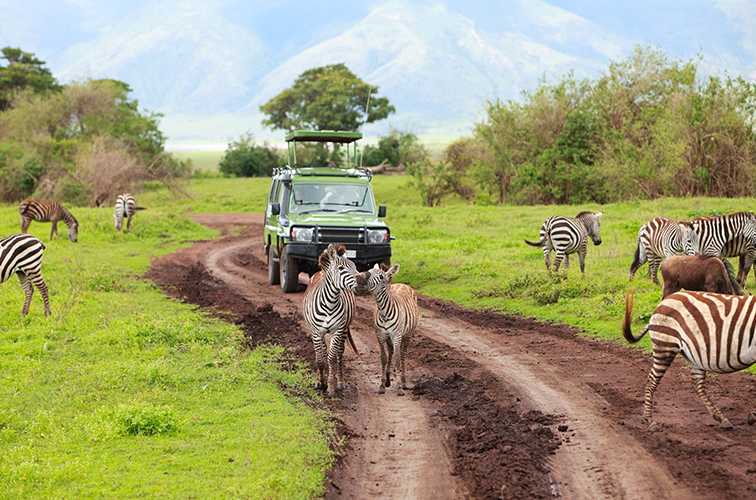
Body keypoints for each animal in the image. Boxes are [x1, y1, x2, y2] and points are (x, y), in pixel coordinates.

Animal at [302, 244, 358, 396]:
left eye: (354, 266)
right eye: (341, 268)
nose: (362, 280)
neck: (329, 303)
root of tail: (321, 271)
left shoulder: (337, 331)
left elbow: (332, 358)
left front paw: (331, 386)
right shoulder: (316, 332)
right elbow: (320, 359)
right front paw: (320, 383)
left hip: (344, 330)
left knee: (339, 354)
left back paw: (340, 382)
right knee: (323, 352)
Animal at [358, 264, 420, 396]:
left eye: (381, 276)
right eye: (369, 271)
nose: (360, 278)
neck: (384, 312)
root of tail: (403, 284)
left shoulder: (397, 336)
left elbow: (397, 360)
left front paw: (399, 388)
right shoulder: (380, 335)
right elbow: (384, 358)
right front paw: (382, 385)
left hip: (407, 335)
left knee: (402, 355)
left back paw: (403, 382)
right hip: (389, 338)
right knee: (391, 352)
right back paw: (388, 380)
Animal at [628, 292, 756, 428]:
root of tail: (664, 302)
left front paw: (753, 416)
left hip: (695, 357)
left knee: (698, 385)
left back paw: (721, 418)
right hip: (665, 346)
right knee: (651, 380)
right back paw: (649, 420)